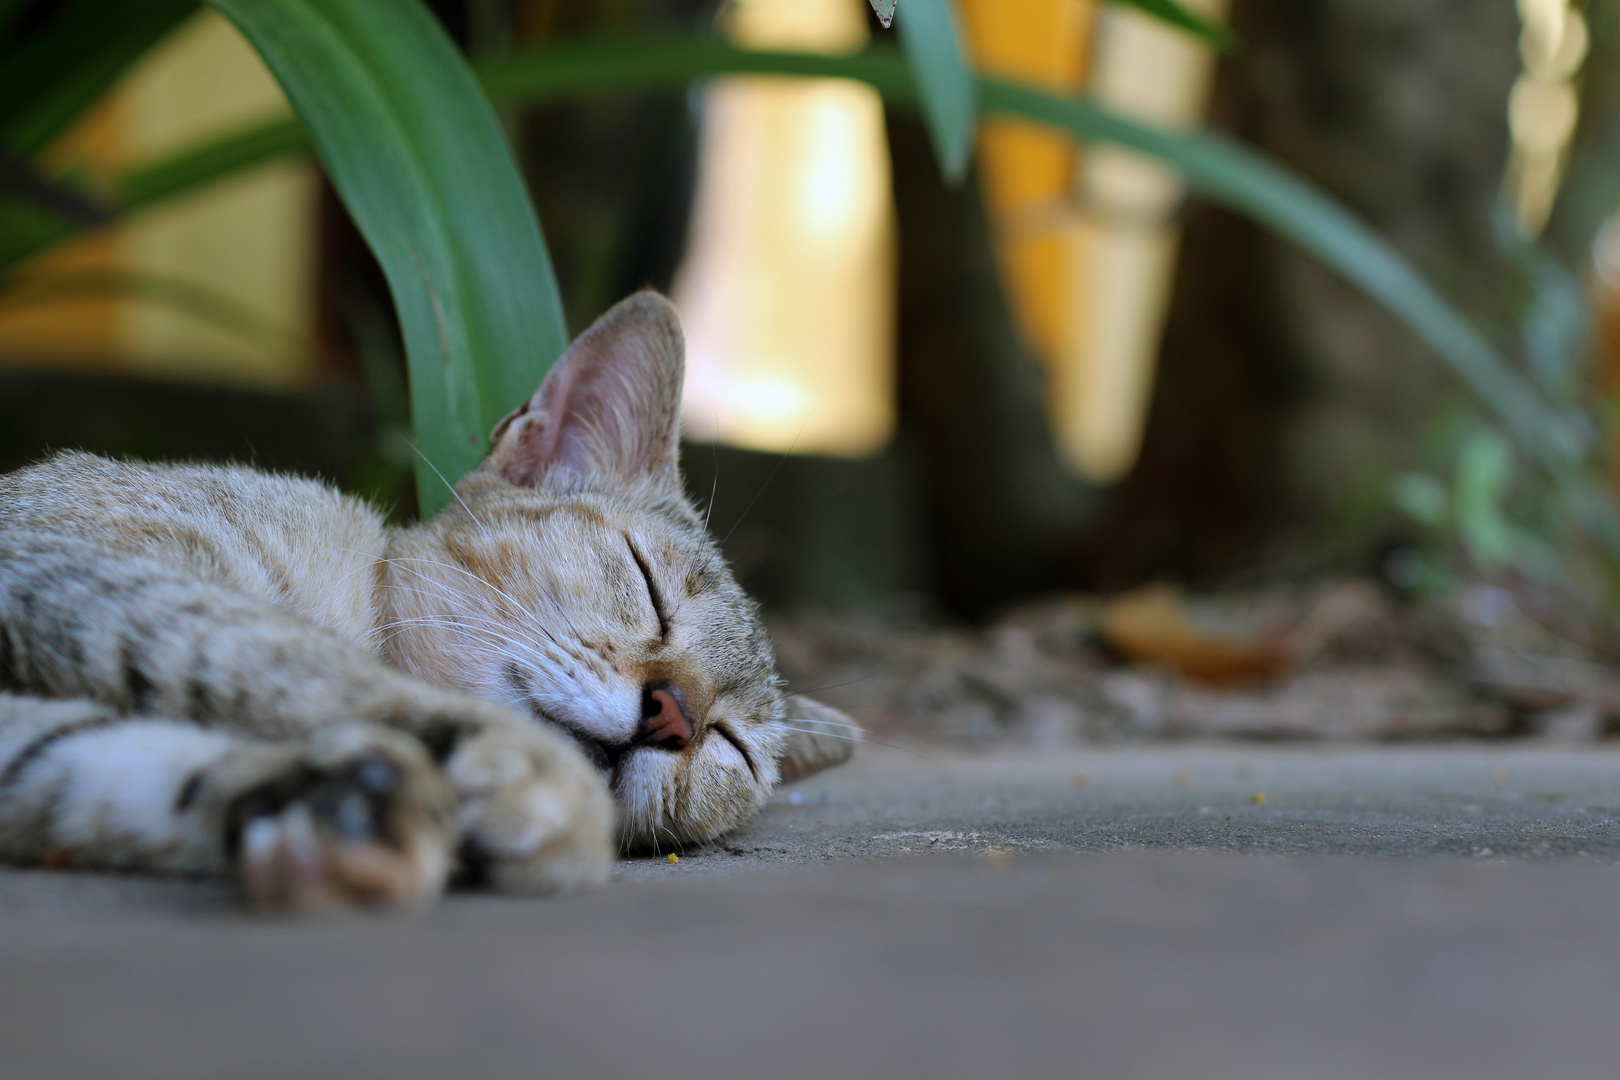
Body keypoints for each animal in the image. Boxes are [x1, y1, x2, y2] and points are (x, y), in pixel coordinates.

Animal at [0, 291, 855, 906]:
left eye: (731, 745)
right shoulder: (67, 565)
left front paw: (339, 825)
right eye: (647, 586)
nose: (673, 716)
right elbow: (295, 659)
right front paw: (536, 785)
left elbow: (118, 766)